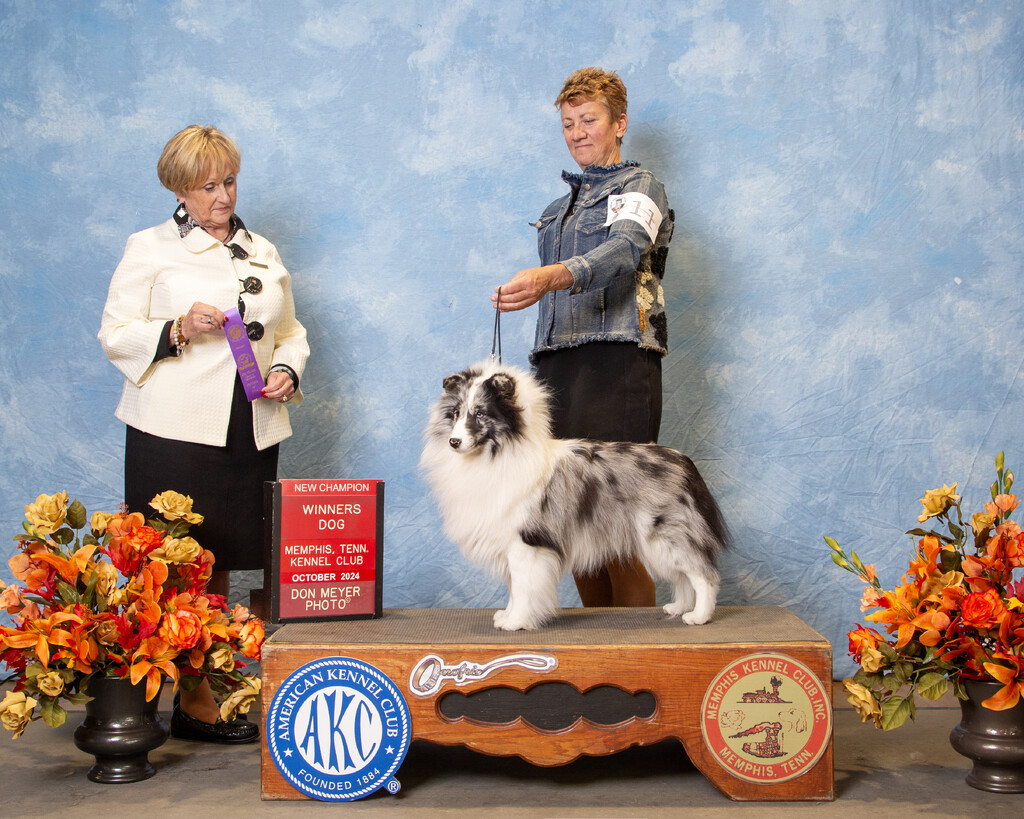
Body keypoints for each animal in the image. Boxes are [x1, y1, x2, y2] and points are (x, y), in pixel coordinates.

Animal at [420, 360, 729, 631]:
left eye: (481, 414)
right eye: (456, 413)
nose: (454, 442)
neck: (496, 454)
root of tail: (682, 461)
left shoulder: (525, 542)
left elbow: (522, 587)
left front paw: (516, 622)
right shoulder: (511, 543)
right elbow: (514, 588)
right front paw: (507, 616)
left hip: (667, 537)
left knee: (704, 575)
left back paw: (699, 616)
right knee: (683, 578)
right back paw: (679, 608)